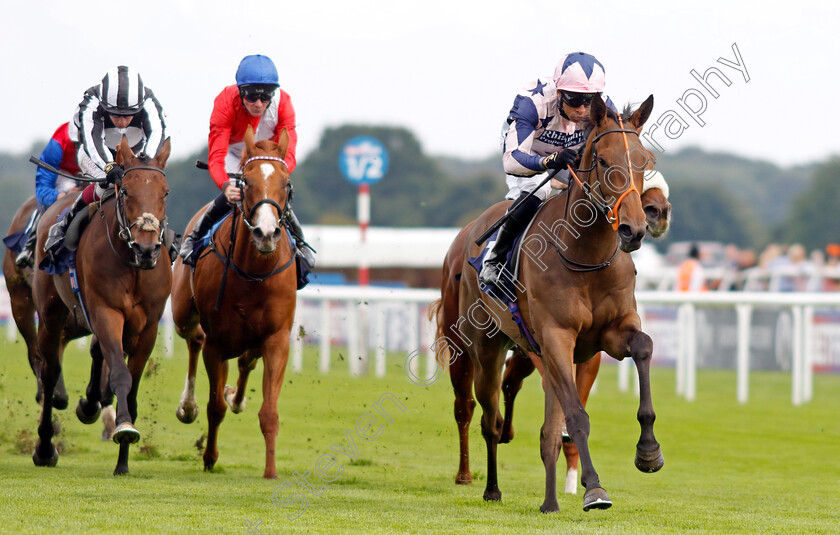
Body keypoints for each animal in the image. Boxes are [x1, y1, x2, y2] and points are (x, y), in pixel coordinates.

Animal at [31, 137, 172, 474]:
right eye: (126, 190)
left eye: (165, 192)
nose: (147, 248)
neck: (133, 264)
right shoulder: (107, 312)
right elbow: (120, 373)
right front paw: (123, 427)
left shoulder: (148, 326)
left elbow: (130, 385)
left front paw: (123, 458)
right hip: (51, 314)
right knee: (50, 374)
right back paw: (45, 448)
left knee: (96, 354)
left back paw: (90, 403)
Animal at [172, 126, 296, 482]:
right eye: (246, 182)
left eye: (286, 183)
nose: (266, 233)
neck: (254, 272)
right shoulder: (217, 342)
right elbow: (215, 408)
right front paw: (209, 457)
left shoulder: (277, 338)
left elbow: (269, 412)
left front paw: (271, 470)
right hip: (183, 313)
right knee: (194, 339)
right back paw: (188, 406)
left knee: (246, 361)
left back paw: (235, 396)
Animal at [434, 95, 664, 510]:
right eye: (602, 159)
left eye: (645, 160)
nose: (633, 229)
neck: (585, 257)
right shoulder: (557, 337)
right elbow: (575, 416)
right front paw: (594, 490)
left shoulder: (608, 334)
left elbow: (643, 347)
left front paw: (648, 452)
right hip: (480, 347)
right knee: (483, 415)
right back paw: (487, 485)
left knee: (537, 422)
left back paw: (549, 502)